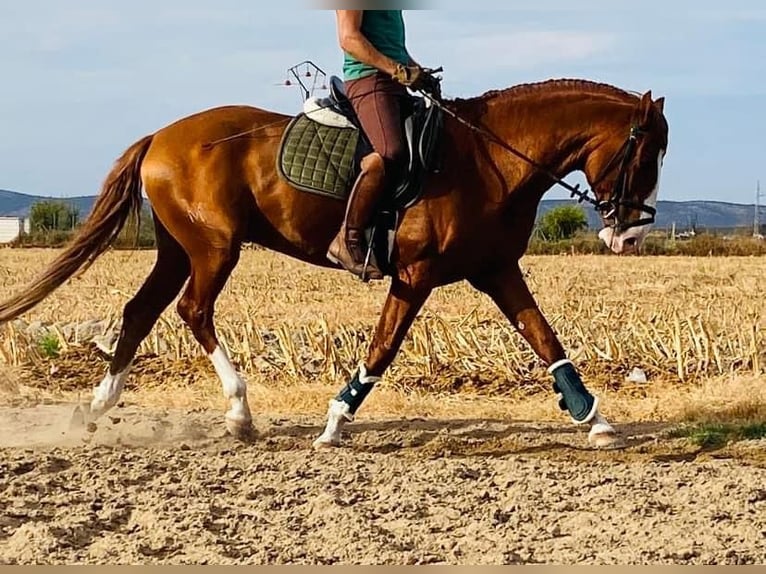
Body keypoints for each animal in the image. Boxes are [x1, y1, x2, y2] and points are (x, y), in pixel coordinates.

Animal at [0, 79, 672, 452]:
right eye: (646, 156)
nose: (633, 234)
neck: (491, 160)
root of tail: (160, 138)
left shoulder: (497, 271)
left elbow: (545, 339)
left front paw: (595, 418)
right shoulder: (415, 276)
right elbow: (382, 348)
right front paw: (334, 424)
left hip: (177, 249)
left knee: (141, 311)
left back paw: (96, 409)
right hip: (214, 248)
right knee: (193, 309)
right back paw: (239, 413)